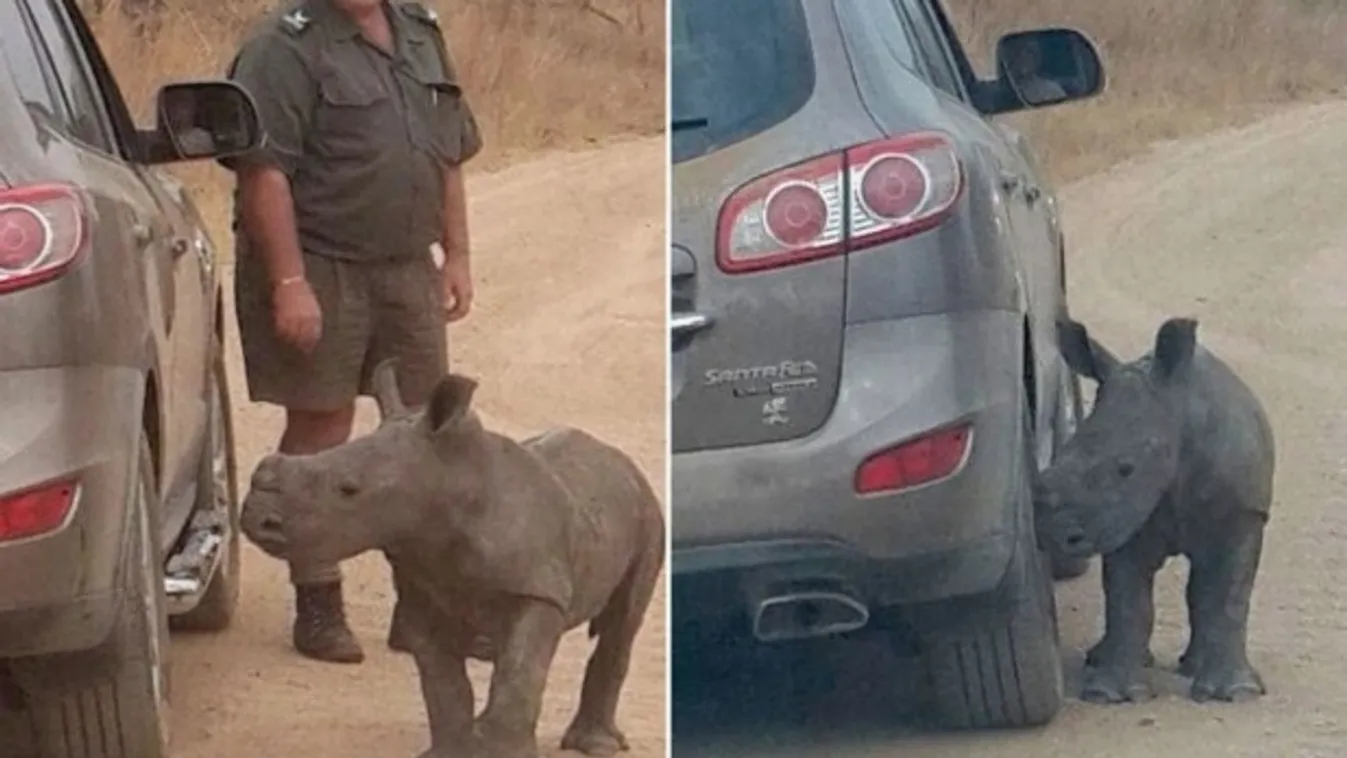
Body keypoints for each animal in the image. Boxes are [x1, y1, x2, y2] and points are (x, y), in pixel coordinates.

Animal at [241, 363, 668, 758]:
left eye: (349, 489)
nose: (257, 518)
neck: (451, 481)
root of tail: (621, 459)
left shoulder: (538, 589)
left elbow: (520, 670)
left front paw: (502, 752)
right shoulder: (420, 588)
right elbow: (442, 682)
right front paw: (454, 750)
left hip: (648, 511)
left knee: (622, 621)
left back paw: (595, 746)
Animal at [1034, 316, 1276, 705]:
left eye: (1126, 469)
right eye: (1062, 456)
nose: (1053, 533)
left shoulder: (1243, 513)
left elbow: (1229, 596)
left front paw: (1237, 693)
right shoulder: (1124, 516)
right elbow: (1127, 600)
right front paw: (1109, 694)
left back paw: (1192, 667)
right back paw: (1105, 660)